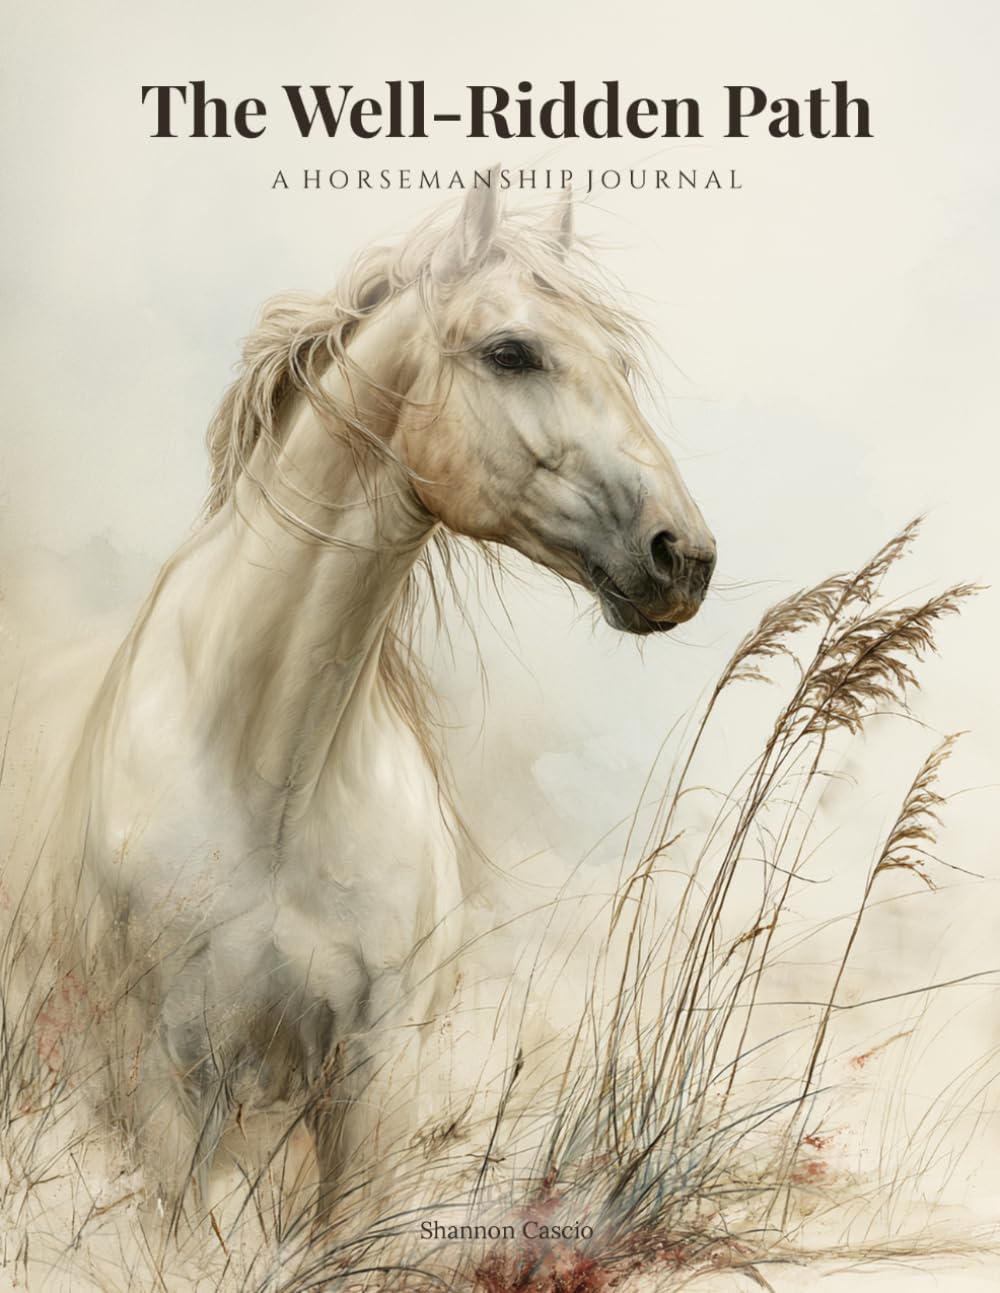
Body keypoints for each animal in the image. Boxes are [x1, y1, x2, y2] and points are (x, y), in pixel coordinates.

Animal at [44, 182, 716, 1226]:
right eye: (510, 352)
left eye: (623, 362)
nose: (682, 554)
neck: (272, 776)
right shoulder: (171, 1080)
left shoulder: (372, 1077)